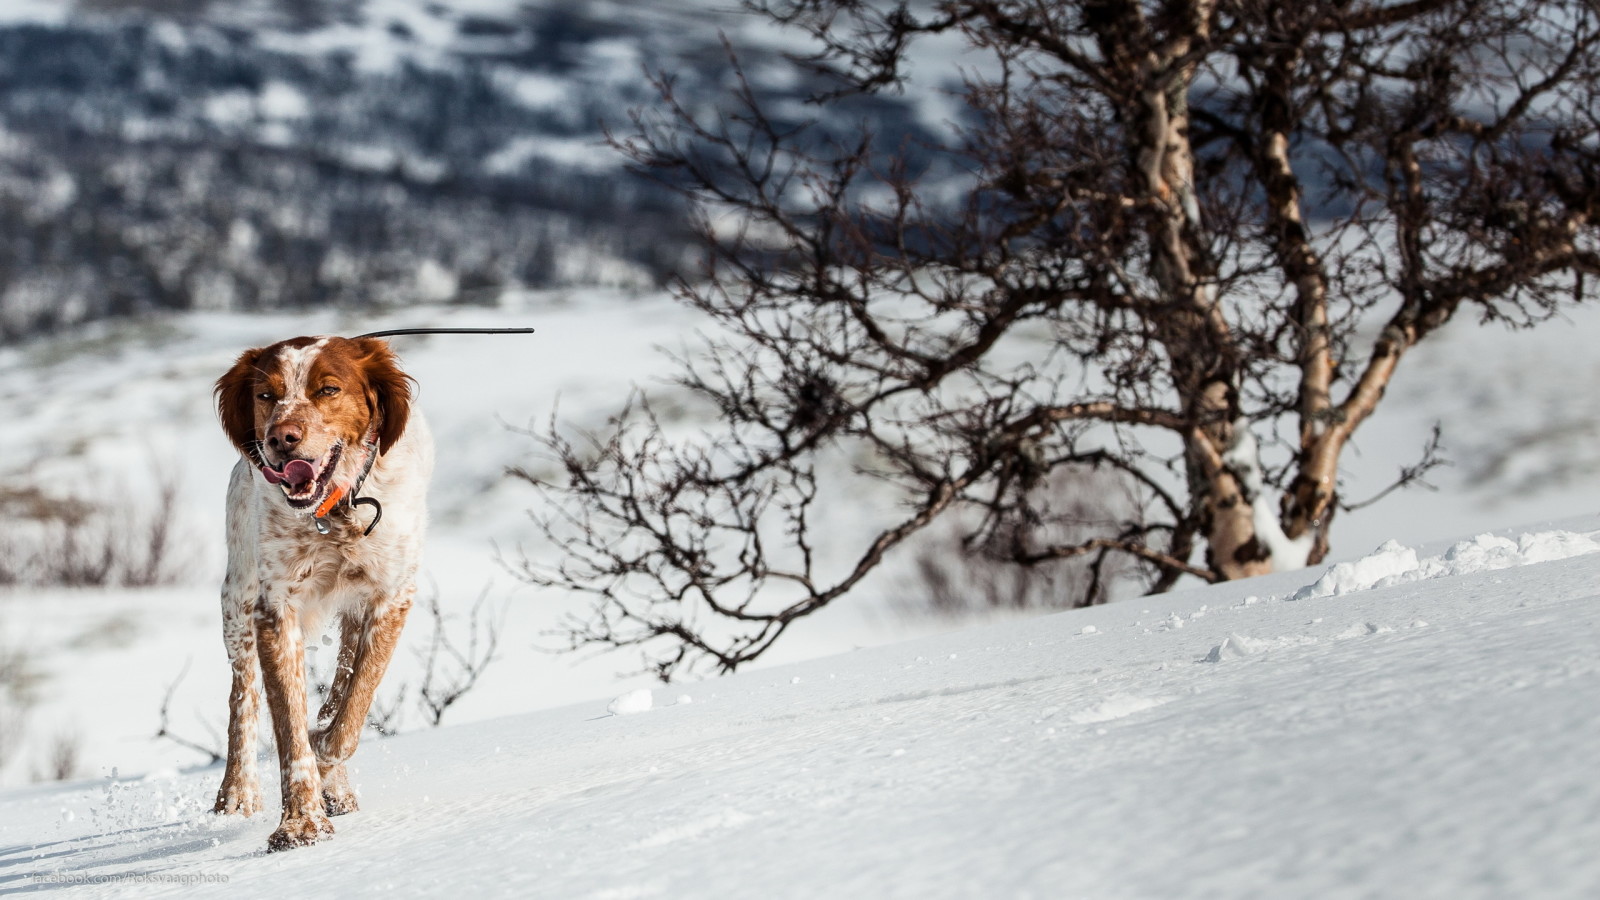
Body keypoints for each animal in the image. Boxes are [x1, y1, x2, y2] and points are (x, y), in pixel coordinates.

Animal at [216, 336, 438, 845]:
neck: (336, 510)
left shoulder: (390, 595)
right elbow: (290, 727)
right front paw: (301, 821)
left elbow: (350, 712)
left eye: (328, 390)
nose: (282, 438)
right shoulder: (274, 608)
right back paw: (237, 792)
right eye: (266, 395)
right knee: (243, 696)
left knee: (339, 690)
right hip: (236, 602)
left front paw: (324, 770)